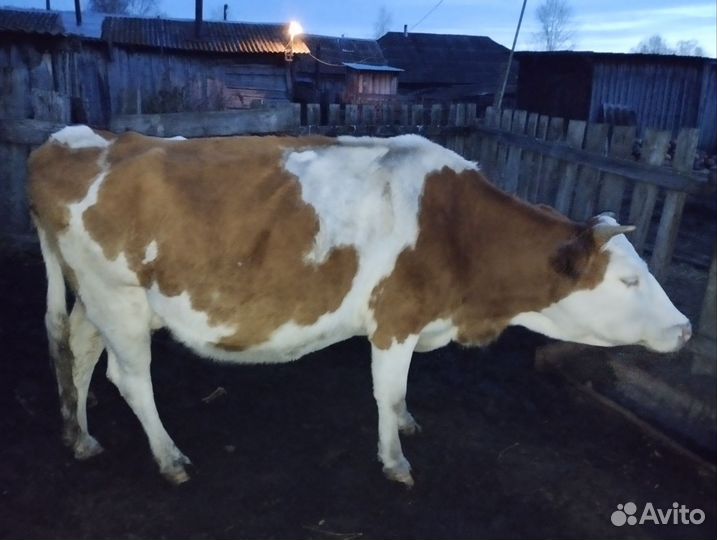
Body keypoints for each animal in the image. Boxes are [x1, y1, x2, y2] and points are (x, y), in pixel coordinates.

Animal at [28, 125, 691, 487]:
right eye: (630, 279)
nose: (686, 328)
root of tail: (67, 141)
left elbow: (401, 395)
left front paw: (407, 427)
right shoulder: (394, 321)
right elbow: (388, 393)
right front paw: (395, 459)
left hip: (98, 297)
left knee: (77, 350)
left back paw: (78, 437)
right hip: (117, 297)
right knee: (129, 377)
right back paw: (168, 457)